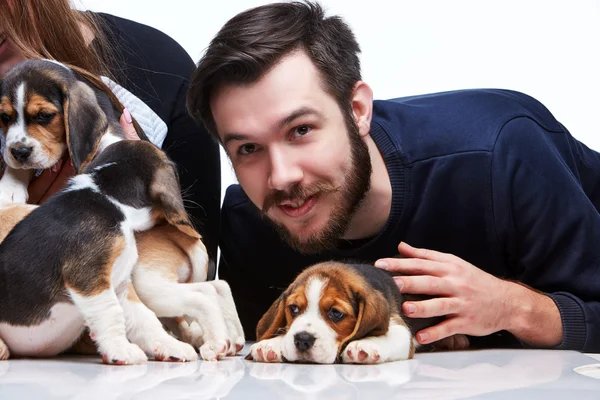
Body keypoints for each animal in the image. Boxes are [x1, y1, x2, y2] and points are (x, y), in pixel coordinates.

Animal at [0, 59, 244, 362]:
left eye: (44, 116)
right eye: (4, 117)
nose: (20, 152)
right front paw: (11, 183)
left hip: (149, 284)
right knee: (212, 290)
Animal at [247, 260, 468, 364]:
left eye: (336, 313)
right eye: (293, 308)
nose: (302, 339)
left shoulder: (399, 328)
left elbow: (389, 335)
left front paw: (365, 344)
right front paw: (272, 343)